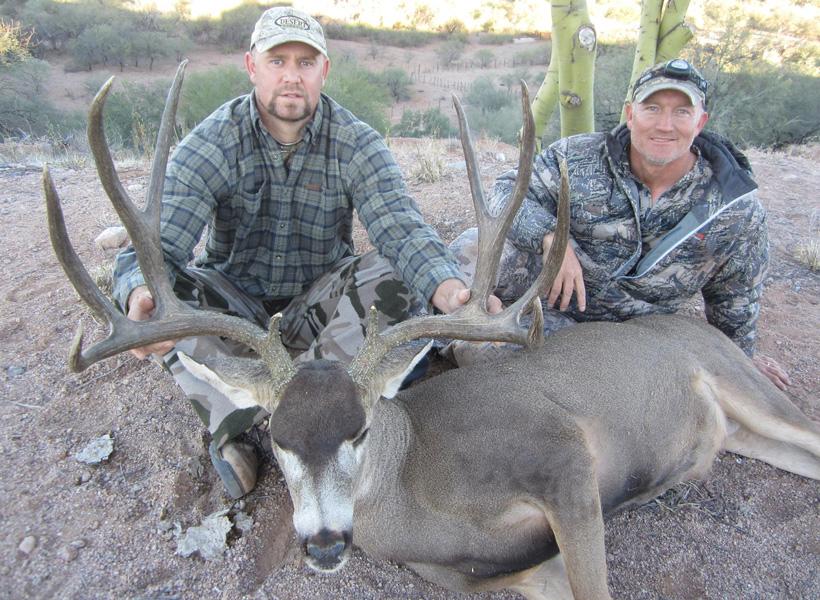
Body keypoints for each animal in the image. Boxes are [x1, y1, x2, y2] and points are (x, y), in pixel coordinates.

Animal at [44, 62, 820, 600]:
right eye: (277, 435)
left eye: (359, 428)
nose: (324, 544)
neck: (417, 484)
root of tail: (707, 334)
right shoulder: (477, 573)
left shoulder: (564, 459)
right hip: (740, 431)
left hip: (744, 382)